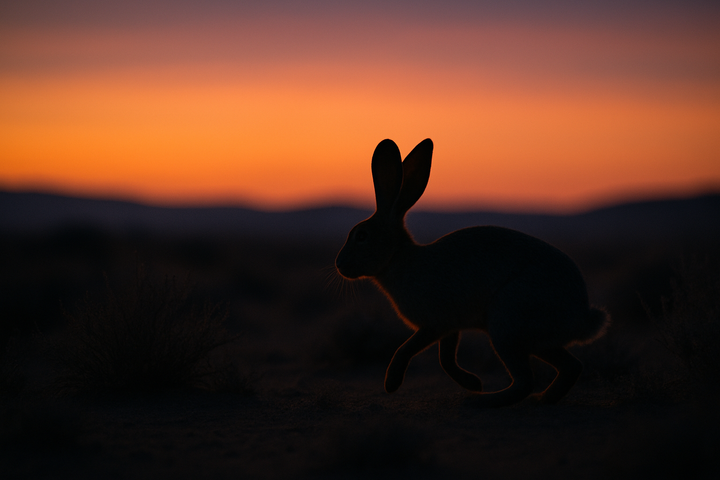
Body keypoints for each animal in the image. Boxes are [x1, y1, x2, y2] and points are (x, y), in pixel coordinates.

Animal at [335, 138, 609, 407]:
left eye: (361, 236)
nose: (339, 264)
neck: (397, 258)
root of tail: (581, 317)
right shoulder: (449, 327)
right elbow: (445, 359)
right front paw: (473, 382)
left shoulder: (435, 323)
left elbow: (407, 349)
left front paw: (392, 384)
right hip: (535, 340)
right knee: (571, 367)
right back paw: (541, 399)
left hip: (506, 323)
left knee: (525, 381)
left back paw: (480, 400)